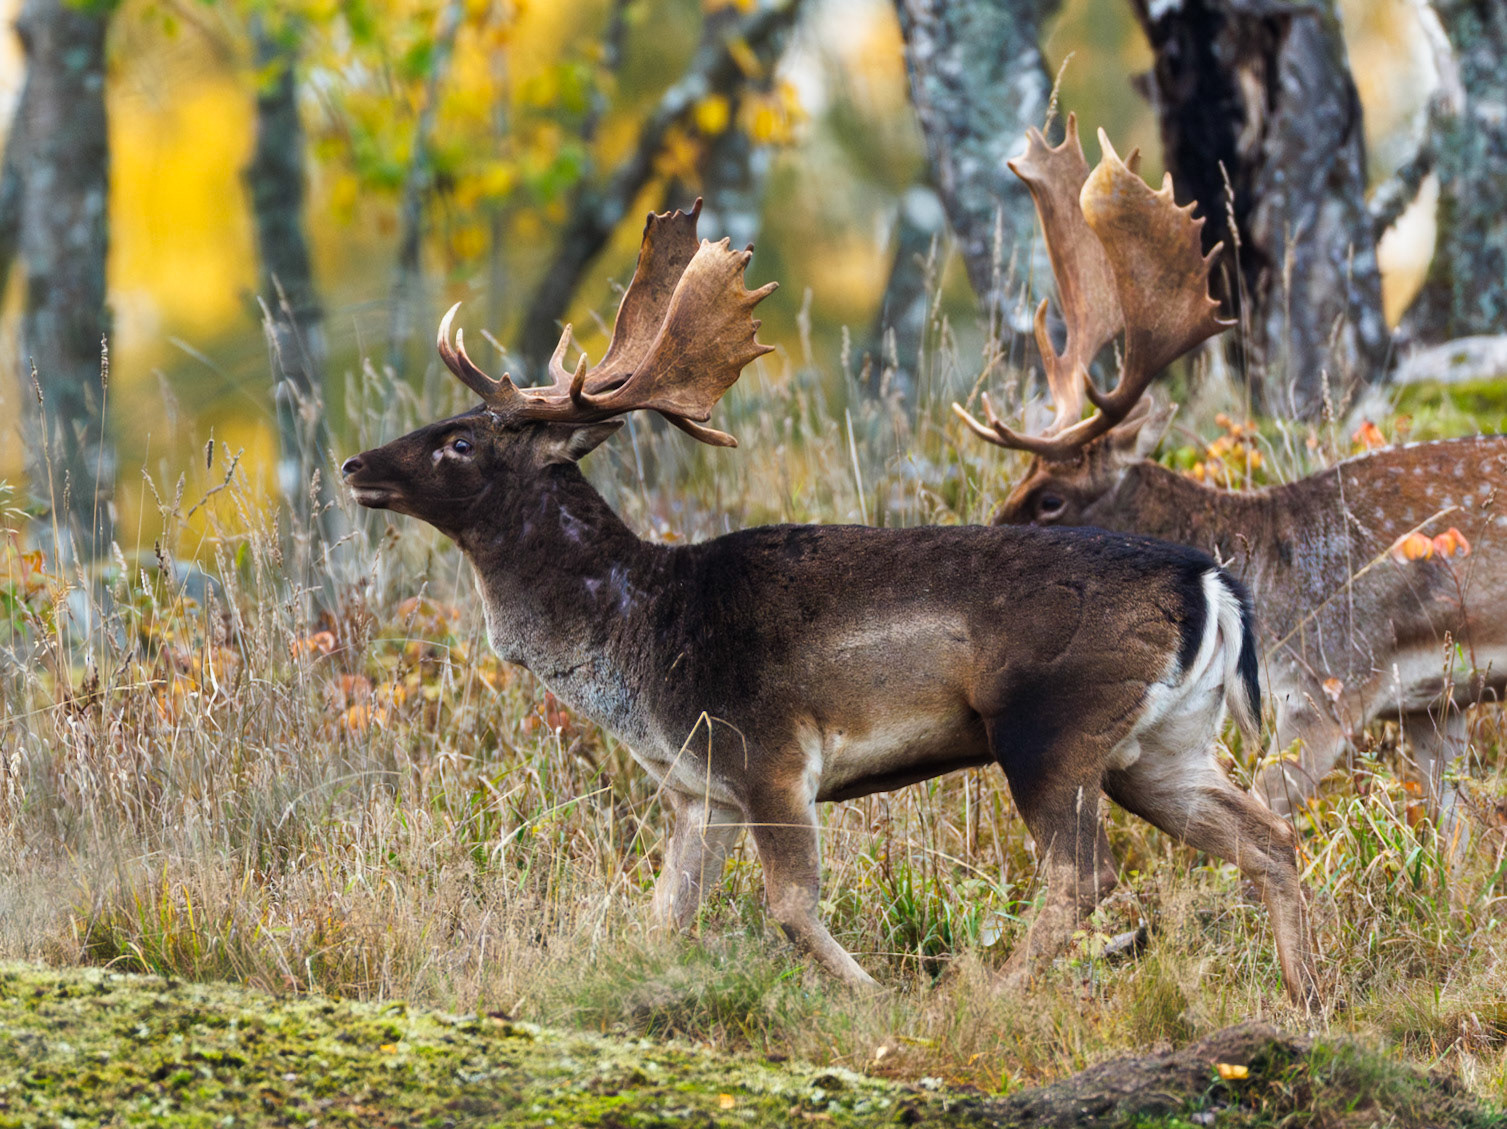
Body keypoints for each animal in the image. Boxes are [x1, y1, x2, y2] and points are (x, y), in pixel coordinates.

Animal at [341, 199, 1319, 1006]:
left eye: (461, 441)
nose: (353, 465)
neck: (637, 641)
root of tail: (1210, 582)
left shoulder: (767, 751)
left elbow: (788, 906)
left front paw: (874, 998)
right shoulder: (699, 790)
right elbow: (663, 915)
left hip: (1050, 729)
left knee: (1081, 877)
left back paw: (988, 995)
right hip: (1160, 746)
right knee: (1269, 835)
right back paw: (1307, 996)